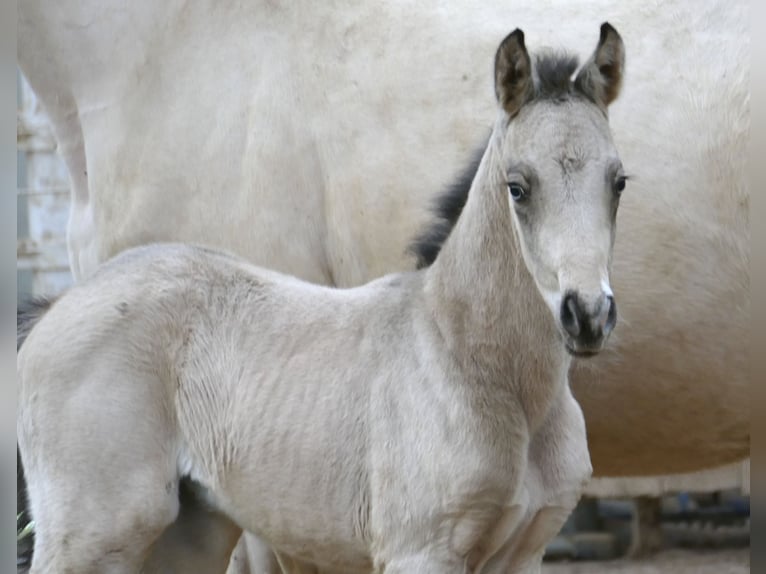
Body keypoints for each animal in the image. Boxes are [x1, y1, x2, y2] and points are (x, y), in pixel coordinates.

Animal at [18, 24, 629, 574]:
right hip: (93, 533)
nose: (587, 315)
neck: (470, 361)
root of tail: (55, 309)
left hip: (188, 533)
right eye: (518, 187)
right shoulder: (420, 552)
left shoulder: (524, 553)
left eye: (618, 181)